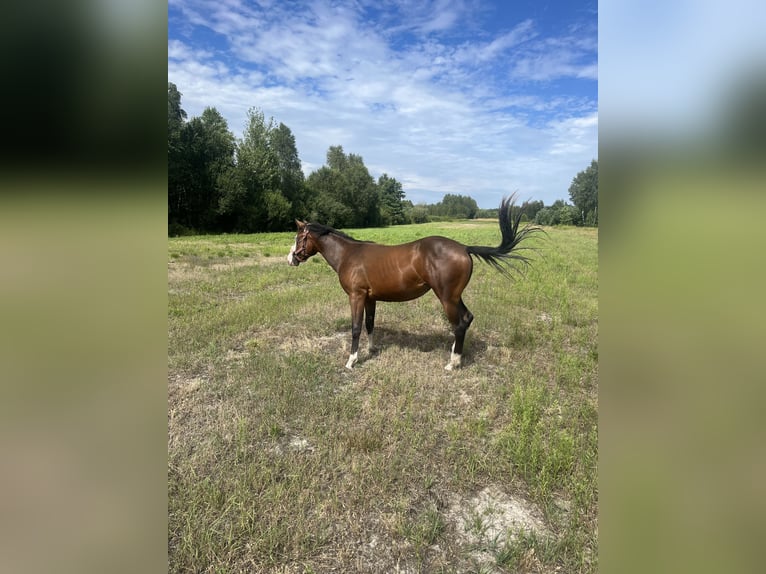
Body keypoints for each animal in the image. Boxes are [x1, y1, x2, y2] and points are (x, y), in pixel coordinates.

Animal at [287, 195, 541, 370]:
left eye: (299, 238)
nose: (291, 259)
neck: (350, 254)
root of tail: (464, 248)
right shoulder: (370, 298)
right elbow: (370, 324)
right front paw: (371, 349)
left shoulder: (356, 296)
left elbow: (356, 327)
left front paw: (351, 360)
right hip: (455, 296)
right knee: (467, 318)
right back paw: (455, 354)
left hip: (446, 298)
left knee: (459, 324)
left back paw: (453, 363)